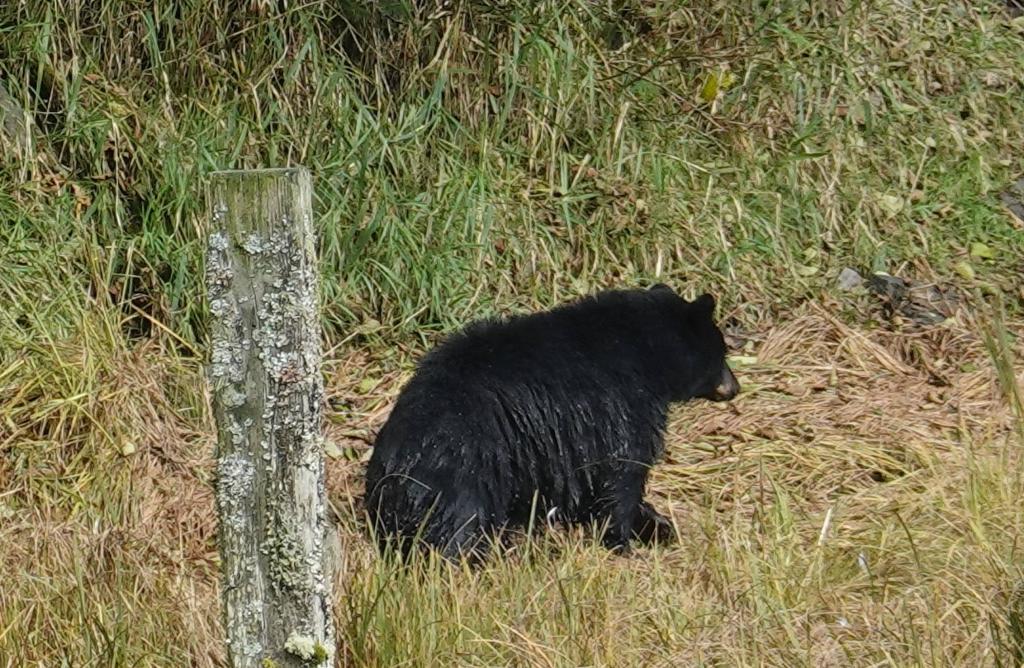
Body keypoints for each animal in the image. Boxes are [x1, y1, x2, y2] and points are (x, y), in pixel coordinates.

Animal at [364, 282, 741, 557]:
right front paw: (624, 540)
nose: (735, 387)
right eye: (721, 351)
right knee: (458, 528)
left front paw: (656, 523)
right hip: (467, 473)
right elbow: (621, 472)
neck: (644, 350)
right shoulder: (620, 406)